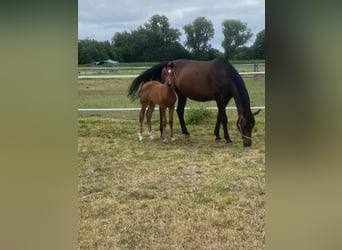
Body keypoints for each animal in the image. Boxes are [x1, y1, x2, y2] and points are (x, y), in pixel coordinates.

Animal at [128, 57, 260, 146]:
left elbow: (219, 116)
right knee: (164, 111)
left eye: (252, 125)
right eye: (244, 125)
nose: (248, 143)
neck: (224, 74)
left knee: (179, 111)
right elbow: (224, 118)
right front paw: (227, 139)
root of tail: (166, 64)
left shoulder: (225, 100)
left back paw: (185, 133)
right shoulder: (220, 99)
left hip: (181, 95)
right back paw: (163, 133)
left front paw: (217, 135)